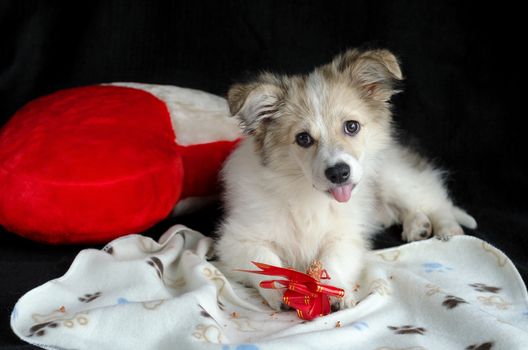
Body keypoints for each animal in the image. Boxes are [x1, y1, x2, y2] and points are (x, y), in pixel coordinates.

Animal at [212, 47, 476, 310]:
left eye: (351, 126)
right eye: (303, 138)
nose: (339, 173)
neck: (307, 196)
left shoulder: (346, 236)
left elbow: (332, 259)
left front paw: (334, 292)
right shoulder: (236, 240)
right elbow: (263, 259)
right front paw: (281, 291)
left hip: (394, 177)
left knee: (434, 201)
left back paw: (447, 229)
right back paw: (418, 226)